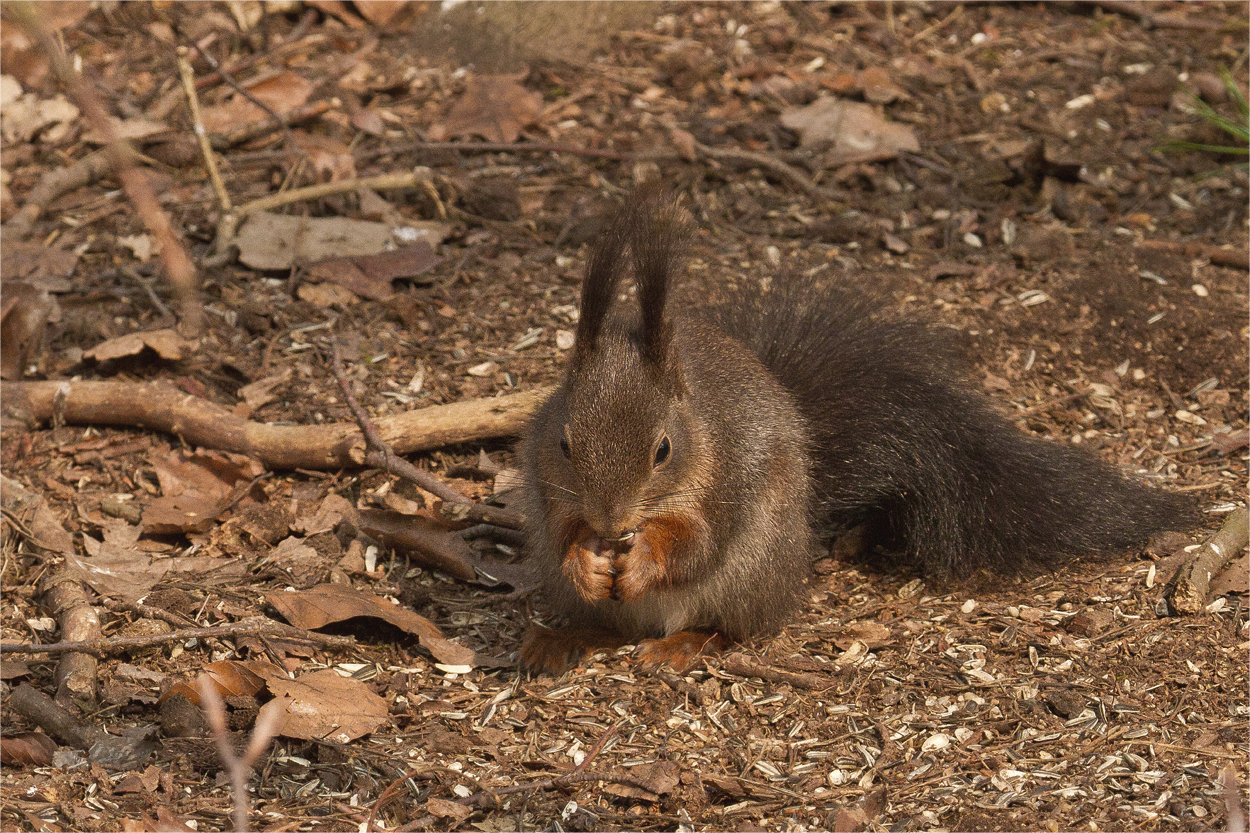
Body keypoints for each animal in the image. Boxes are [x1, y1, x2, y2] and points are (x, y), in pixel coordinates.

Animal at [515, 190, 1190, 675]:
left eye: (663, 450)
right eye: (564, 444)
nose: (610, 523)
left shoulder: (727, 480)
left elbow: (696, 542)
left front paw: (644, 558)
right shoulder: (550, 485)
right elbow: (560, 529)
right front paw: (584, 557)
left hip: (752, 571)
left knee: (736, 628)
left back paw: (683, 643)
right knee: (603, 622)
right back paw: (561, 637)